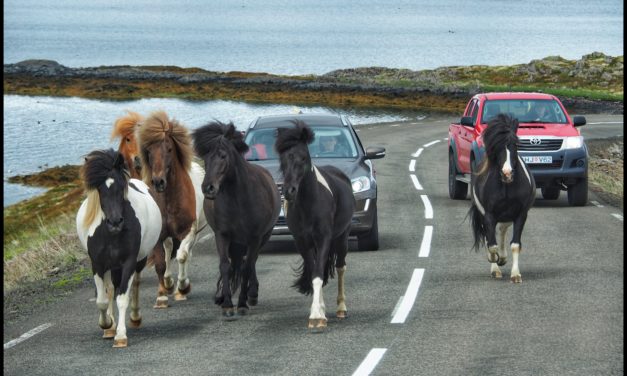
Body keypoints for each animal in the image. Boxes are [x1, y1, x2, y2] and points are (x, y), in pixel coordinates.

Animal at [75, 148, 162, 348]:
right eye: (100, 189)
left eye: (122, 186)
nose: (115, 222)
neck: (112, 235)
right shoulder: (98, 265)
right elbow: (101, 299)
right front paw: (107, 324)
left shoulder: (129, 262)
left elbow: (122, 298)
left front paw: (121, 336)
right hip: (110, 267)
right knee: (109, 289)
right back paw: (110, 327)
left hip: (138, 261)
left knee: (134, 285)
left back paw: (135, 318)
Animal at [136, 110, 207, 306]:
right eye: (149, 151)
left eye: (169, 149)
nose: (158, 182)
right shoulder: (158, 235)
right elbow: (161, 263)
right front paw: (163, 292)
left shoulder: (188, 231)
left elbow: (182, 256)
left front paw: (182, 287)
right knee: (168, 251)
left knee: (187, 254)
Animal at [191, 119, 280, 318]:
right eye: (205, 159)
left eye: (223, 156)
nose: (208, 188)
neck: (238, 199)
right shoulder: (222, 235)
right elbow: (225, 266)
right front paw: (226, 304)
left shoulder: (254, 237)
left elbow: (247, 267)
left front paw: (242, 304)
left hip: (263, 236)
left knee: (251, 262)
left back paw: (252, 294)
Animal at [276, 120, 358, 328]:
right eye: (283, 159)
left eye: (303, 157)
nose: (288, 191)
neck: (309, 204)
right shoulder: (303, 242)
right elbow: (315, 271)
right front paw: (318, 311)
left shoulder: (324, 239)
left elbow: (319, 273)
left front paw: (316, 316)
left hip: (342, 238)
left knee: (341, 267)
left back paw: (341, 309)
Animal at [468, 113, 536, 284]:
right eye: (497, 147)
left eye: (515, 145)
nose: (507, 173)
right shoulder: (489, 215)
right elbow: (492, 245)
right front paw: (495, 262)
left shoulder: (520, 214)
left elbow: (515, 245)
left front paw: (515, 274)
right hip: (485, 214)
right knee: (489, 237)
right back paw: (496, 266)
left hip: (507, 214)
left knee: (503, 229)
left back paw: (503, 257)